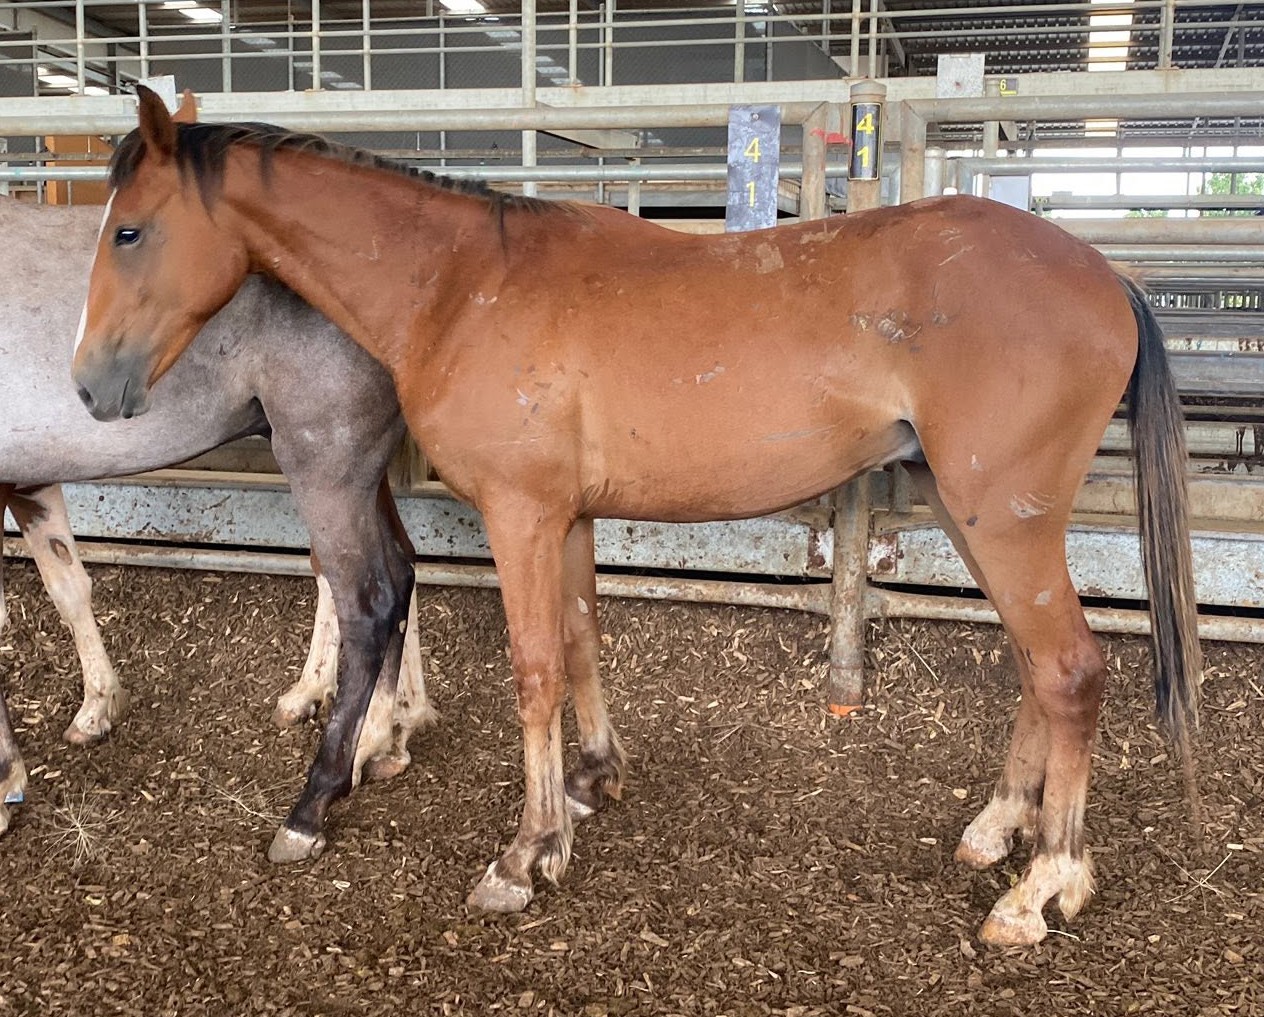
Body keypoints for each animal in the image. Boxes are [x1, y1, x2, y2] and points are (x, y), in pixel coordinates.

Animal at [0, 195, 437, 842]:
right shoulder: (29, 477)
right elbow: (68, 586)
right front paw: (97, 708)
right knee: (397, 568)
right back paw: (381, 734)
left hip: (328, 464)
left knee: (369, 594)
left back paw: (316, 800)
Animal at [71, 87, 1201, 945]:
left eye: (129, 229)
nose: (90, 386)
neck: (464, 286)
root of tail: (1105, 277)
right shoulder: (566, 519)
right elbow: (579, 642)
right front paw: (588, 787)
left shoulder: (520, 516)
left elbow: (533, 669)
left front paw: (524, 853)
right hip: (979, 518)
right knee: (1037, 673)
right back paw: (999, 829)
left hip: (1003, 520)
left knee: (1070, 671)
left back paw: (1040, 886)